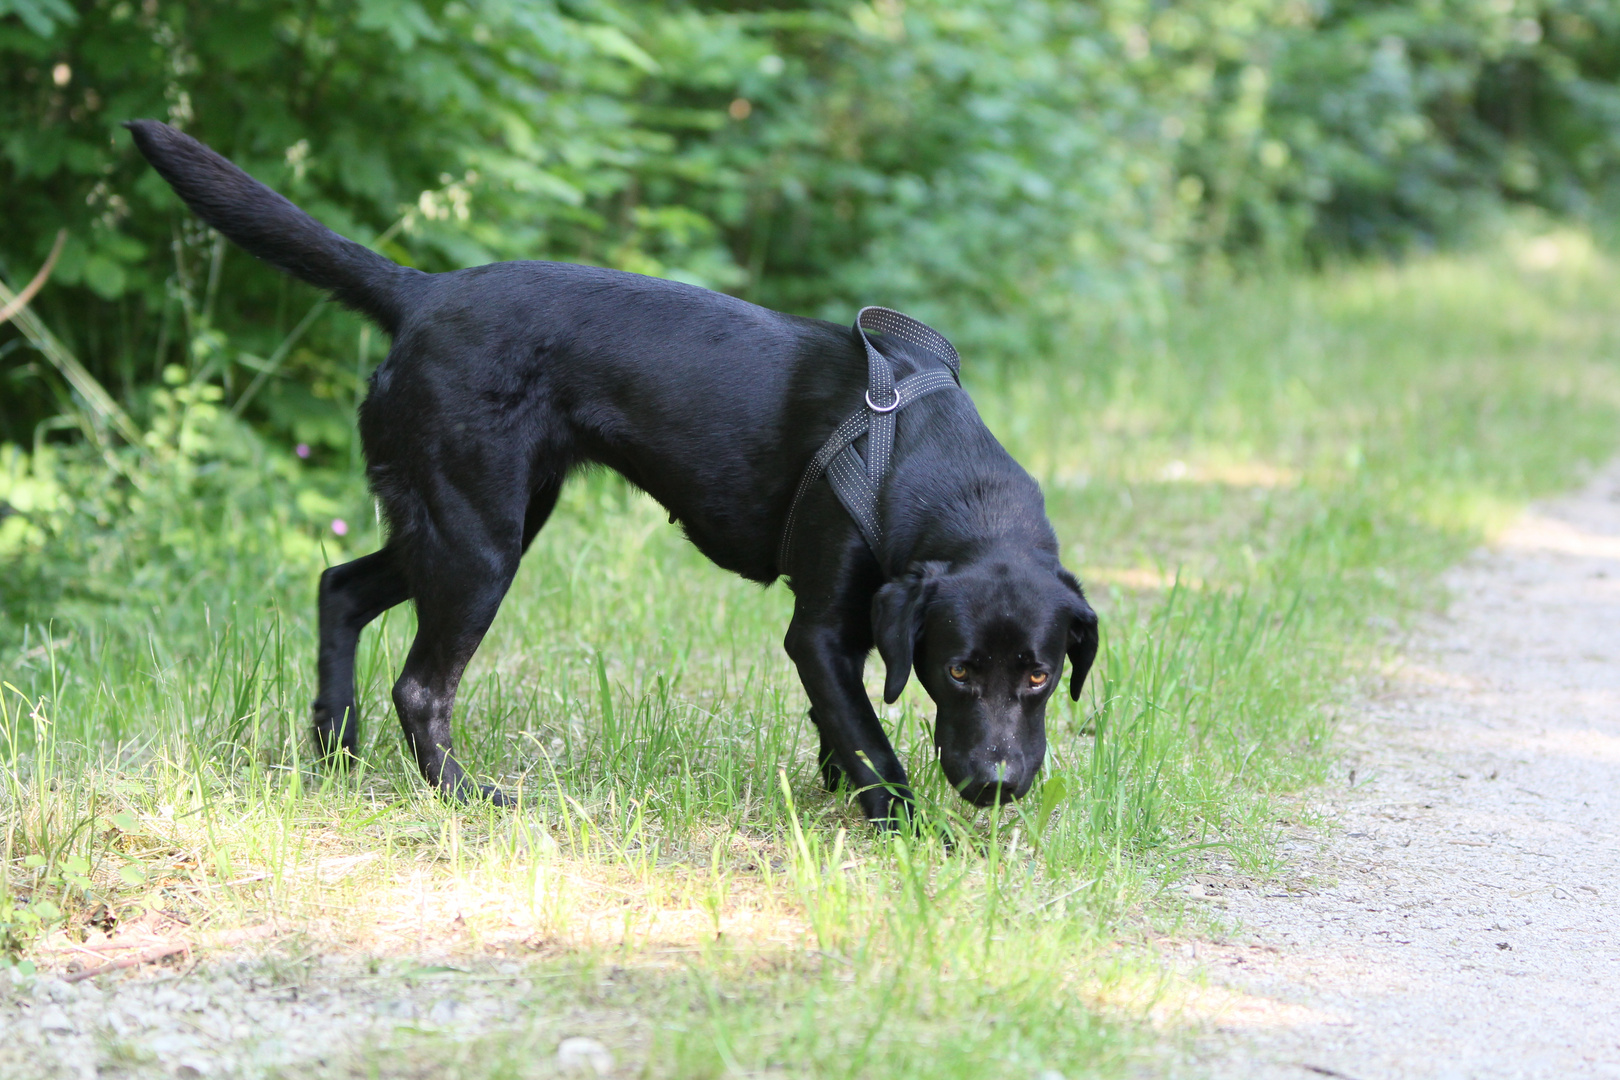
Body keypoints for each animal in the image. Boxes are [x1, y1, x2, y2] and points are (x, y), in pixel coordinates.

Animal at [119, 120, 1095, 829]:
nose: (998, 785)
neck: (933, 464)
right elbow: (869, 742)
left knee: (339, 586)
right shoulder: (817, 630)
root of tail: (422, 289)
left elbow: (841, 725)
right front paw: (908, 832)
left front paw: (837, 791)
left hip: (468, 521)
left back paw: (333, 748)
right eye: (958, 671)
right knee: (420, 684)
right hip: (479, 543)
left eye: (1040, 676)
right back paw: (465, 796)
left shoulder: (850, 635)